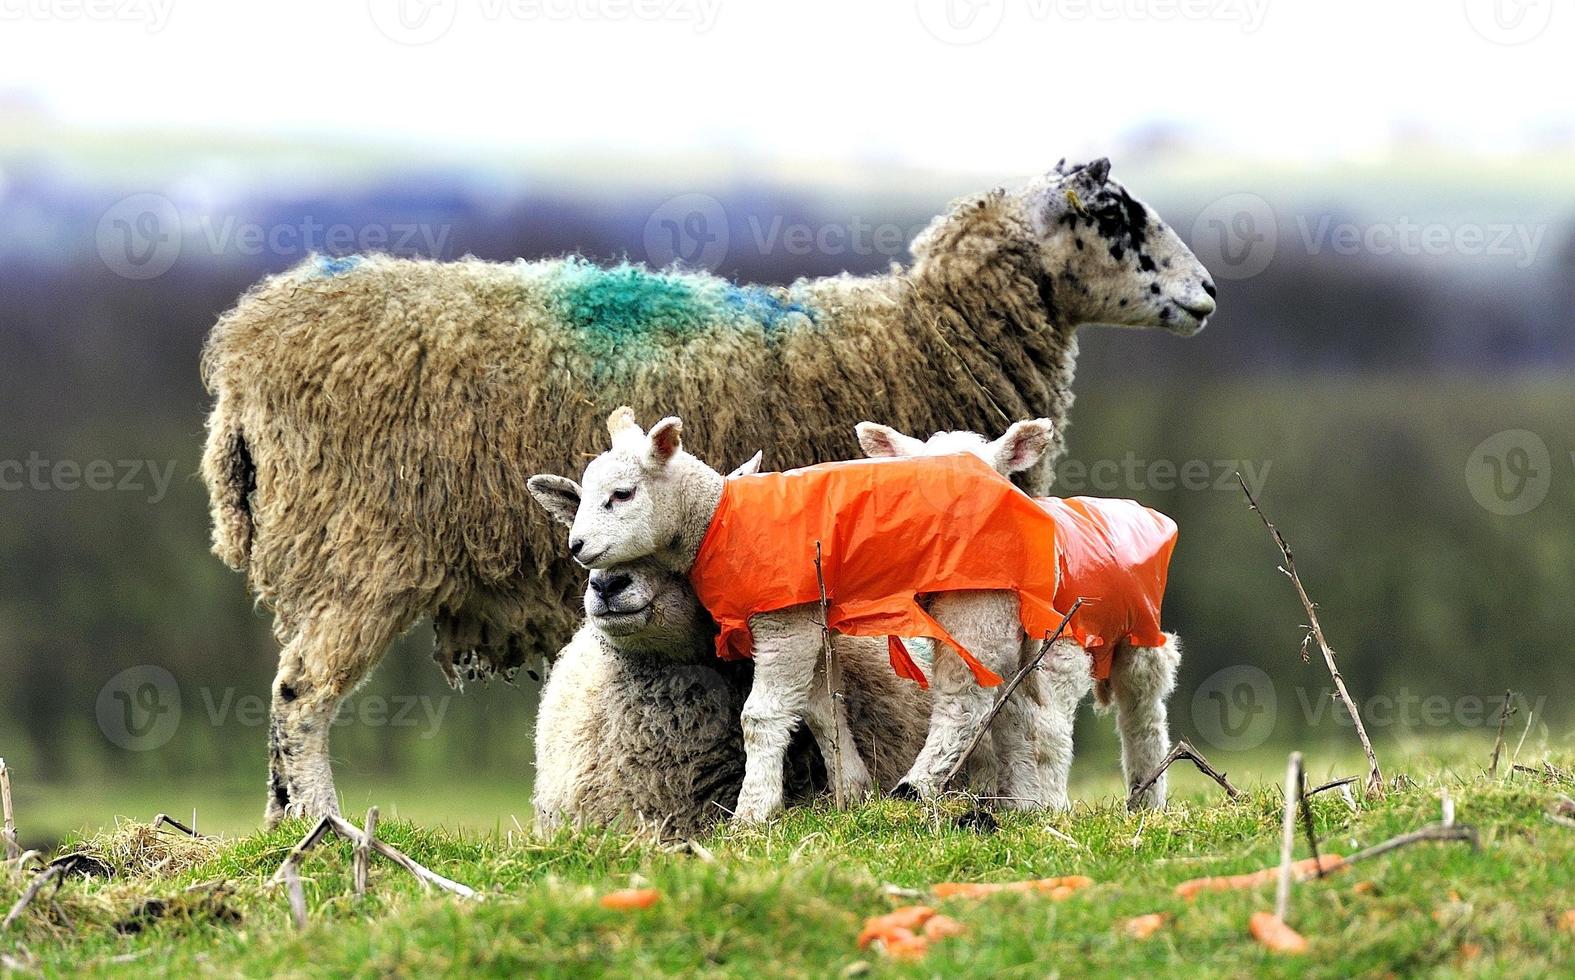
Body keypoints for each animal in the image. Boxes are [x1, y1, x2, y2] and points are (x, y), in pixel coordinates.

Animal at [863, 419, 1184, 812]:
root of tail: (1127, 504)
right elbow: (993, 714)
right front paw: (1011, 802)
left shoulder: (1056, 646)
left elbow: (1024, 720)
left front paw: (1048, 806)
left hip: (1140, 631)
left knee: (1143, 711)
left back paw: (1147, 799)